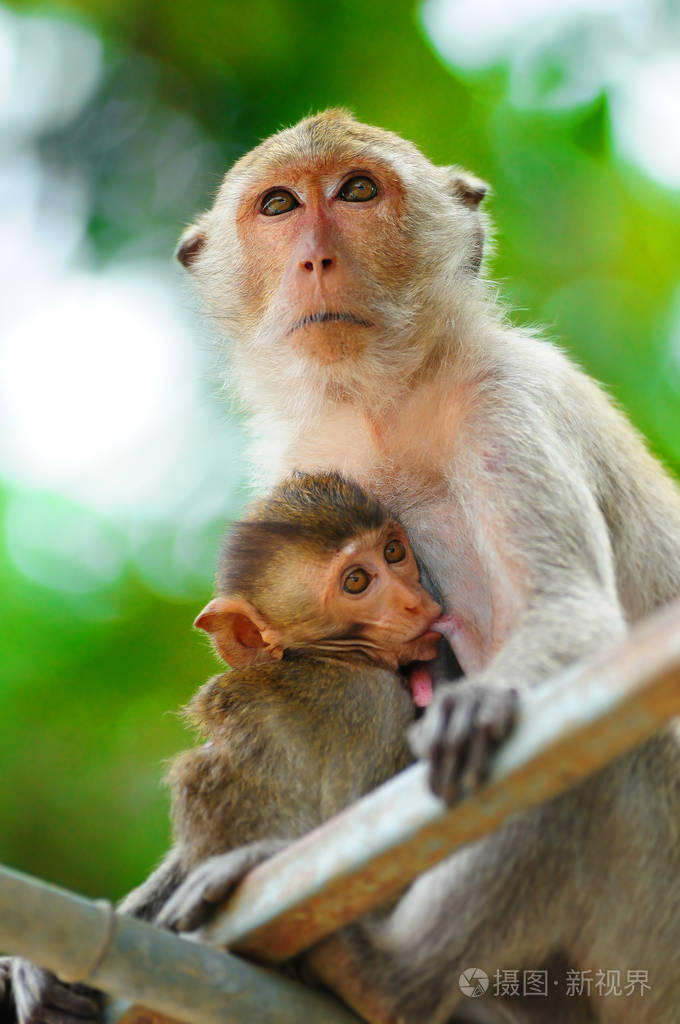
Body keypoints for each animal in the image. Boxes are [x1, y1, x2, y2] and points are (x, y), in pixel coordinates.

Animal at [174, 108, 680, 1019]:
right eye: (278, 206)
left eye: (357, 191)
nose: (316, 258)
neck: (385, 407)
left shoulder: (507, 401)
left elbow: (573, 619)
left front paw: (471, 708)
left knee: (604, 751)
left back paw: (385, 975)